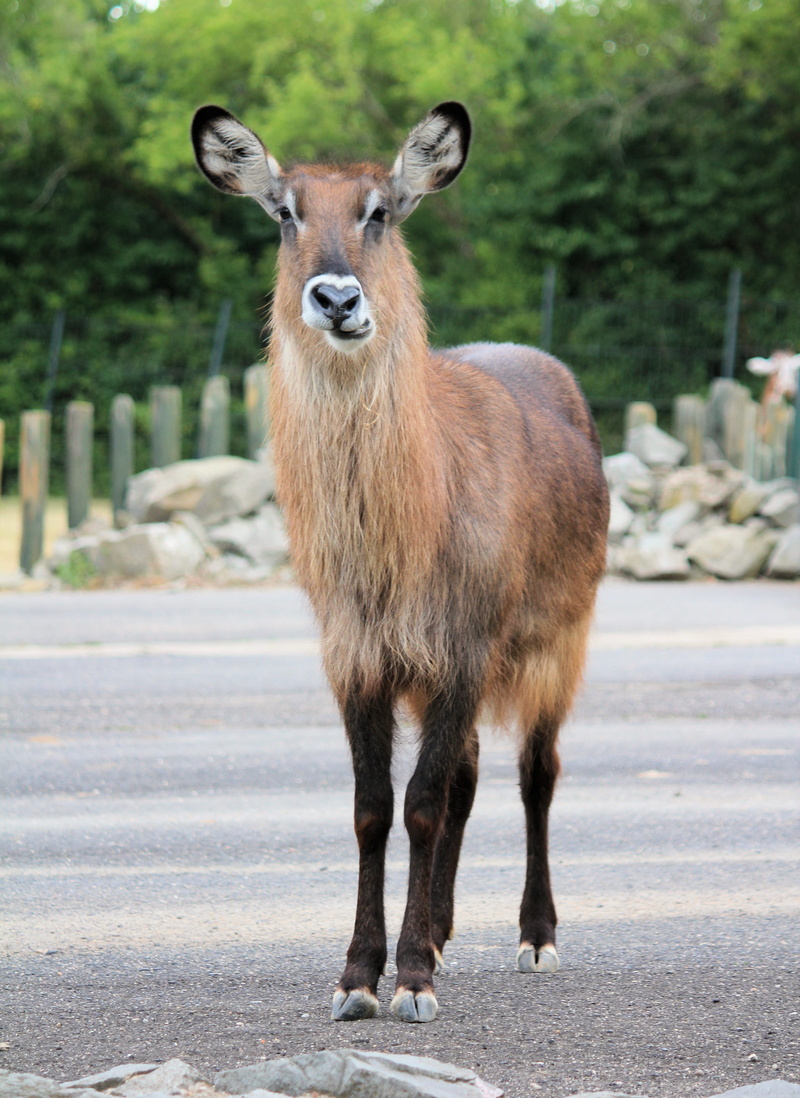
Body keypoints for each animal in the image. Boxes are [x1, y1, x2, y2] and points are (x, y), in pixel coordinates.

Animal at [191, 100, 609, 1024]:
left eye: (379, 210)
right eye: (285, 212)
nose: (337, 297)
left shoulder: (463, 649)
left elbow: (420, 805)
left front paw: (411, 976)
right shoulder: (360, 658)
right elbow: (375, 809)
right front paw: (359, 975)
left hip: (558, 642)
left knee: (535, 774)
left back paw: (535, 935)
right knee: (469, 777)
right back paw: (448, 930)